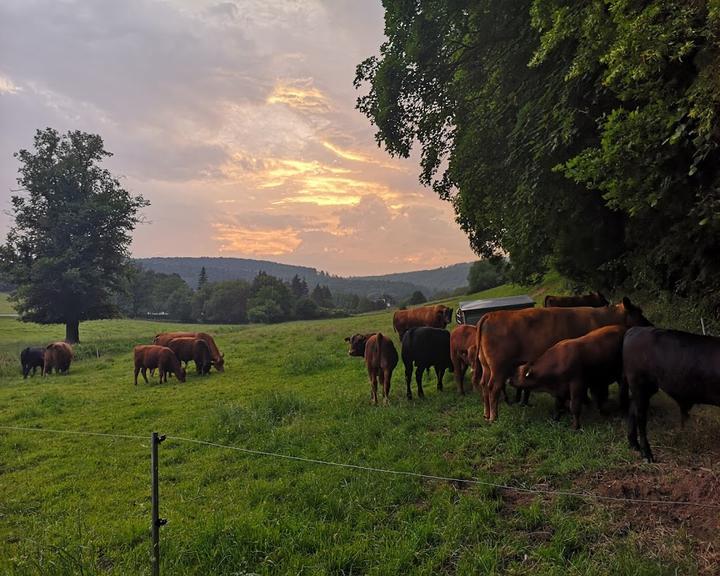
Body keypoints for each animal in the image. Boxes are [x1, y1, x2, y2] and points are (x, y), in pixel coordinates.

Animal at [476, 296, 648, 424]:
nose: (649, 324)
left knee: (484, 386)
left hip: (487, 367)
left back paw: (486, 414)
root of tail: (490, 315)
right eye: (639, 312)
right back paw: (494, 417)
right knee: (493, 388)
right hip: (499, 369)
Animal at [620, 328, 720, 464]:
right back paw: (646, 454)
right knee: (641, 418)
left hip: (646, 389)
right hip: (640, 385)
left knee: (632, 410)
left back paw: (634, 444)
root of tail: (636, 329)